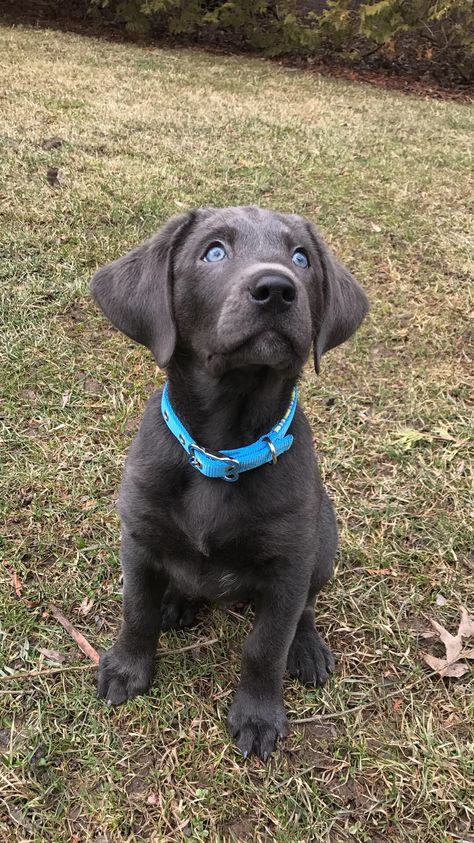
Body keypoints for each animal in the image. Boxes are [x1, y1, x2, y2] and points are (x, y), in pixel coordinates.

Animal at [90, 208, 370, 760]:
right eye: (214, 252)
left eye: (301, 259)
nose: (276, 289)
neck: (223, 454)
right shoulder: (138, 537)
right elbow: (136, 609)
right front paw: (127, 669)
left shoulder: (288, 564)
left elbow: (266, 645)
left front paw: (259, 716)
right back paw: (176, 602)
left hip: (324, 539)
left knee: (306, 607)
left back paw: (306, 647)